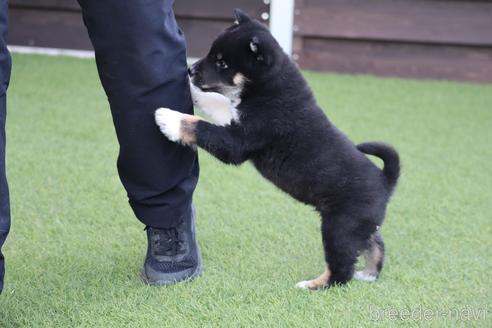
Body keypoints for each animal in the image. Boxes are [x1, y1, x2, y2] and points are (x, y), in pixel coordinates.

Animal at [155, 9, 400, 288]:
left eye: (222, 63)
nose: (190, 70)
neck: (269, 87)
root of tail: (386, 181)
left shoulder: (238, 142)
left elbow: (201, 127)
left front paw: (168, 119)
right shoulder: (235, 118)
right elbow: (216, 102)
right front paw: (192, 93)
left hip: (340, 227)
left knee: (342, 271)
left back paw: (313, 285)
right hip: (360, 226)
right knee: (375, 243)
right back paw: (369, 273)